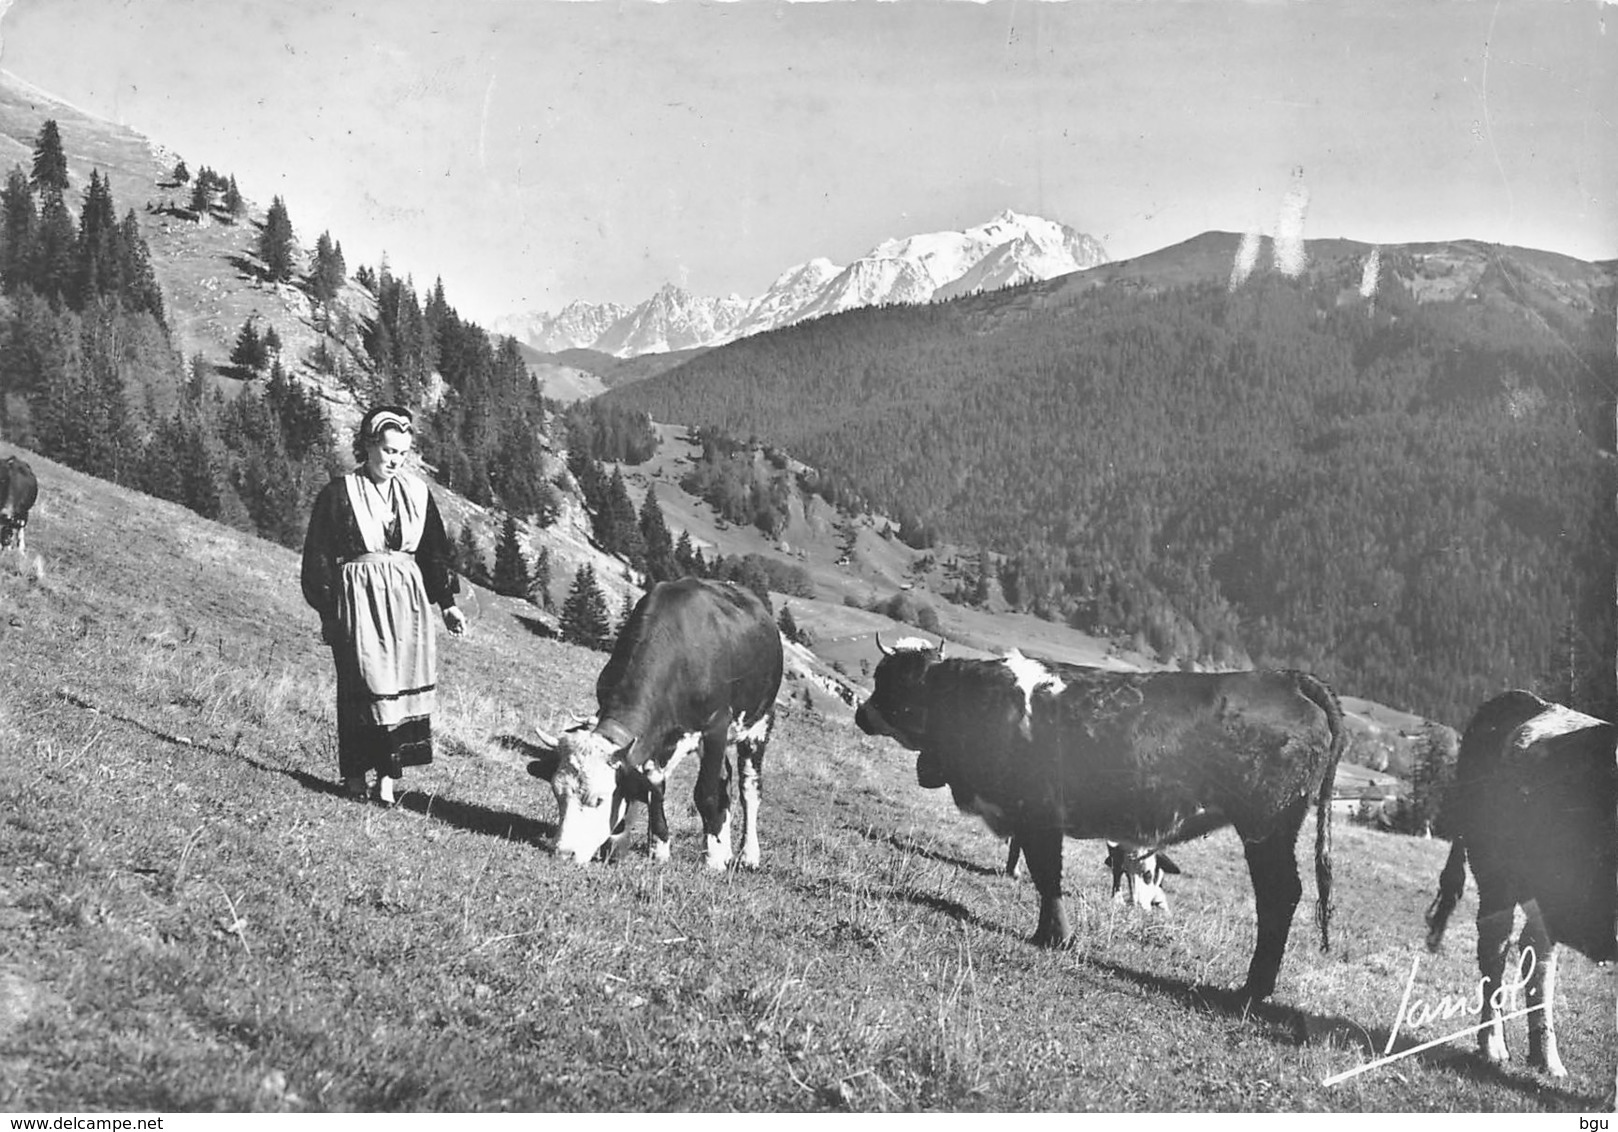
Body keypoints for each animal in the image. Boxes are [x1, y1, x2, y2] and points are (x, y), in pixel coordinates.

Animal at [530, 578, 783, 873]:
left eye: (599, 799)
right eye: (557, 793)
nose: (563, 853)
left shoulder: (716, 724)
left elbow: (706, 793)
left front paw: (713, 858)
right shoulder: (653, 742)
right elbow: (653, 786)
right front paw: (654, 847)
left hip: (760, 721)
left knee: (749, 788)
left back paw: (747, 855)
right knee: (725, 777)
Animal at [854, 640, 1346, 1002]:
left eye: (889, 681)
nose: (860, 713)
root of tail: (1283, 678)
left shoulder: (1038, 813)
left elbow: (1046, 874)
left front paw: (1057, 938)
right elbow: (1042, 874)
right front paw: (1049, 933)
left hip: (1267, 827)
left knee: (1279, 896)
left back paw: (1253, 989)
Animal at [1423, 688, 1611, 1080]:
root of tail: (1533, 701)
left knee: (1536, 951)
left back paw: (1547, 1058)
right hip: (1497, 871)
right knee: (1496, 946)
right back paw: (1494, 1046)